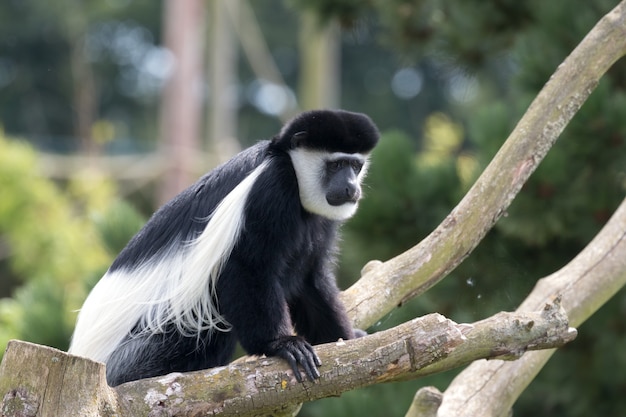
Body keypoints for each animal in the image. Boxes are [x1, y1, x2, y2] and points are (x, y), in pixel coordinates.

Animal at [70, 109, 378, 386]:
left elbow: (311, 279)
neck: (287, 164)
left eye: (355, 166)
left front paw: (345, 338)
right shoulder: (270, 189)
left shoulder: (320, 223)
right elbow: (247, 266)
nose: (351, 188)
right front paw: (282, 344)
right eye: (336, 165)